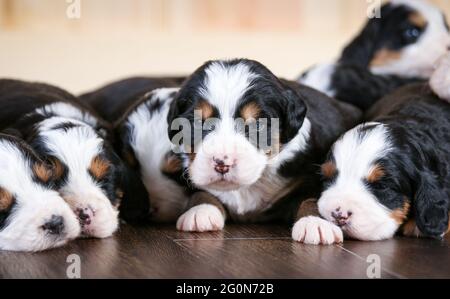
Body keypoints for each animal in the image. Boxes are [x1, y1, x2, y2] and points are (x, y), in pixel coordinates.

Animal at [167, 58, 360, 232]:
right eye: (197, 123)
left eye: (257, 125)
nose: (222, 163)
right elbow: (202, 192)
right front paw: (200, 211)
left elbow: (311, 197)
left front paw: (315, 223)